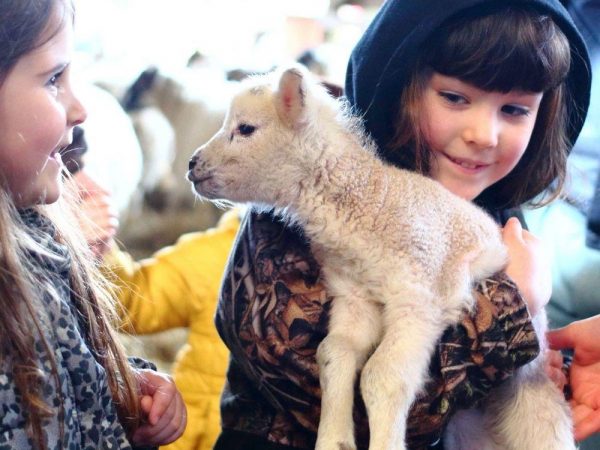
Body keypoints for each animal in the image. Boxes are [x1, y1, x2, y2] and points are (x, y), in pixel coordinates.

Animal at [187, 65, 574, 450]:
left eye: (245, 129)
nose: (192, 164)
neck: (371, 204)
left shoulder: (424, 296)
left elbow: (383, 375)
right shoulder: (355, 295)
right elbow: (333, 353)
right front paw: (334, 439)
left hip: (531, 393)